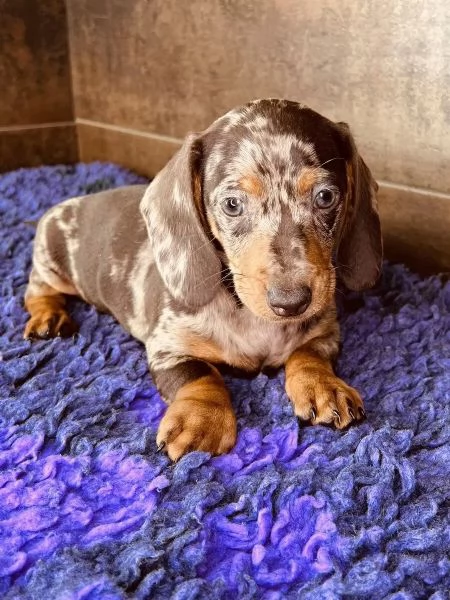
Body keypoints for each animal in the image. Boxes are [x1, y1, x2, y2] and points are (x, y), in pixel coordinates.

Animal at [23, 101, 384, 462]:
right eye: (232, 204)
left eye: (325, 197)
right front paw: (202, 420)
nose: (291, 302)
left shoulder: (326, 331)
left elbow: (309, 353)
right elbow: (199, 374)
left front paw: (323, 386)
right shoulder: (166, 346)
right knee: (36, 289)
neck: (248, 314)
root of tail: (73, 202)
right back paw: (48, 317)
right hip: (51, 262)